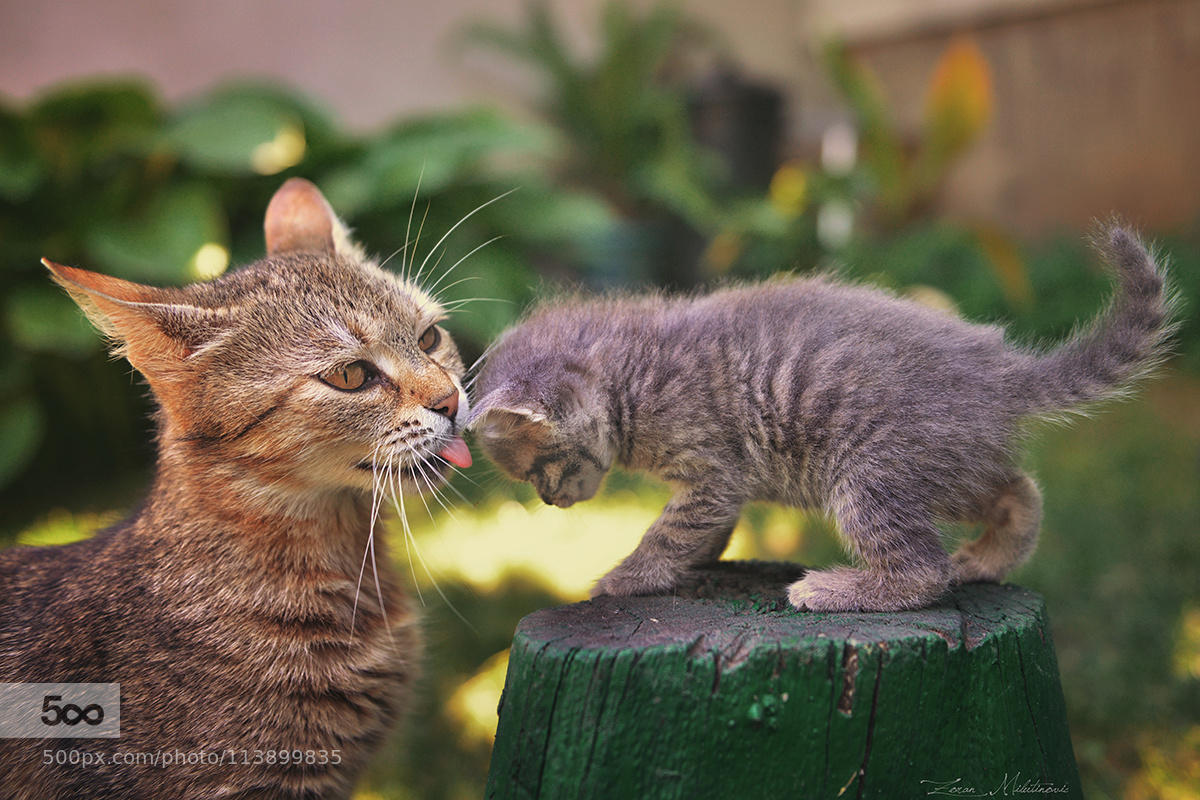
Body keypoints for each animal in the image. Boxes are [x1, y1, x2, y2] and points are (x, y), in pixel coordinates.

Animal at [465, 225, 1171, 614]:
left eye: (542, 467)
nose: (548, 501)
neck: (631, 374)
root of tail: (996, 370)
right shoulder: (719, 488)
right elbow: (701, 533)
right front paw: (696, 564)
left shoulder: (712, 470)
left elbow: (670, 531)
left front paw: (625, 577)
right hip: (947, 465)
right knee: (1019, 491)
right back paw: (984, 559)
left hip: (869, 474)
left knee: (924, 570)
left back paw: (835, 589)